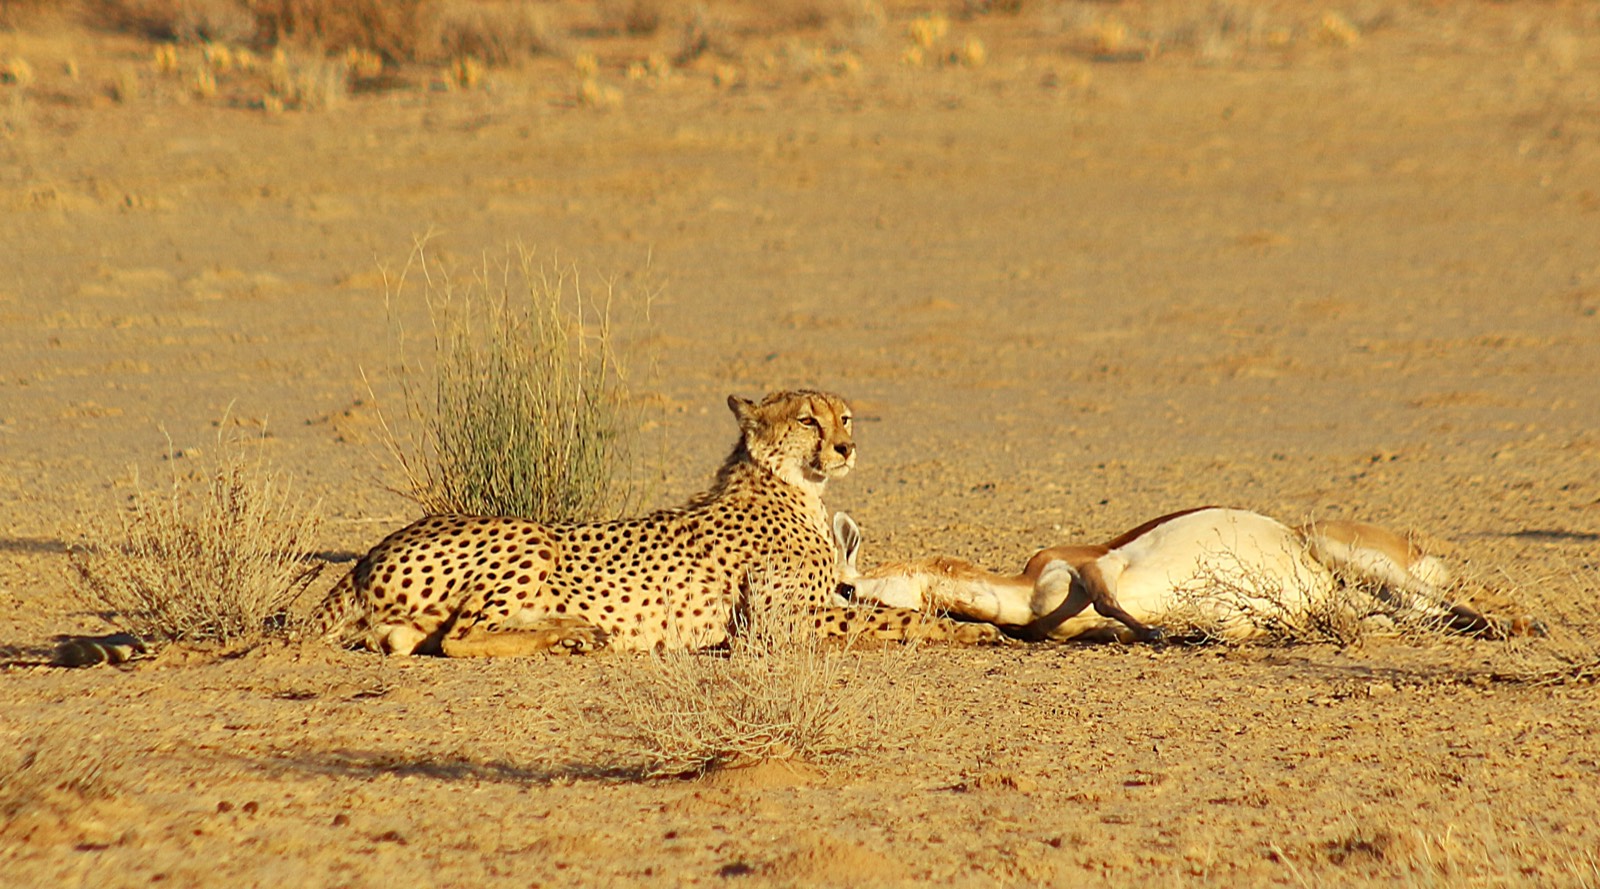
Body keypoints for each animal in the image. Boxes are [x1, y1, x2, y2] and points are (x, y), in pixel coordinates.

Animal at [315, 389, 1000, 656]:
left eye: (846, 417)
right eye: (808, 420)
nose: (846, 448)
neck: (788, 485)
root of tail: (371, 552)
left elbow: (880, 610)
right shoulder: (778, 622)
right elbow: (888, 618)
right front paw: (970, 631)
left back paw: (574, 631)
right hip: (528, 534)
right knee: (460, 637)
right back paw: (571, 634)